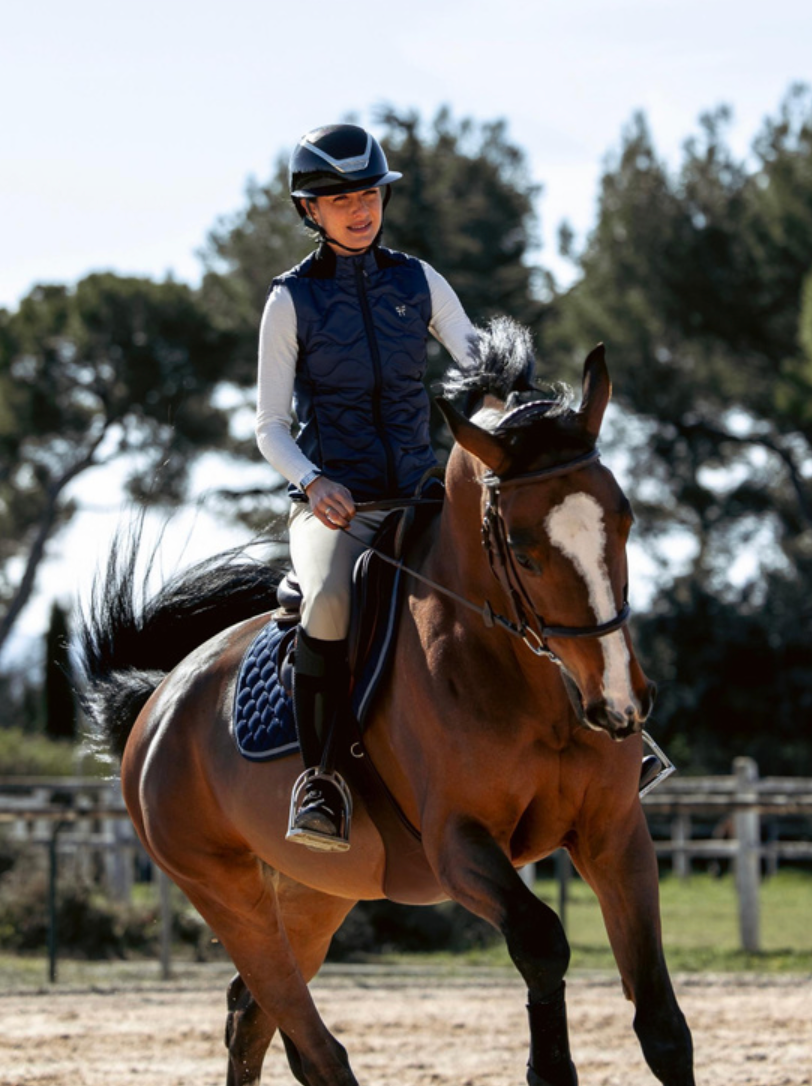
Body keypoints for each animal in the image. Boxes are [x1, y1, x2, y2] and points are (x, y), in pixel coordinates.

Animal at [77, 322, 695, 1086]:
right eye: (523, 551)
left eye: (625, 521)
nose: (618, 704)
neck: (528, 686)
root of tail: (158, 701)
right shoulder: (456, 844)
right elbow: (542, 941)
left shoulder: (614, 832)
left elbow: (663, 1026)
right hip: (227, 893)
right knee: (305, 1035)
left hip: (317, 892)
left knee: (252, 1017)